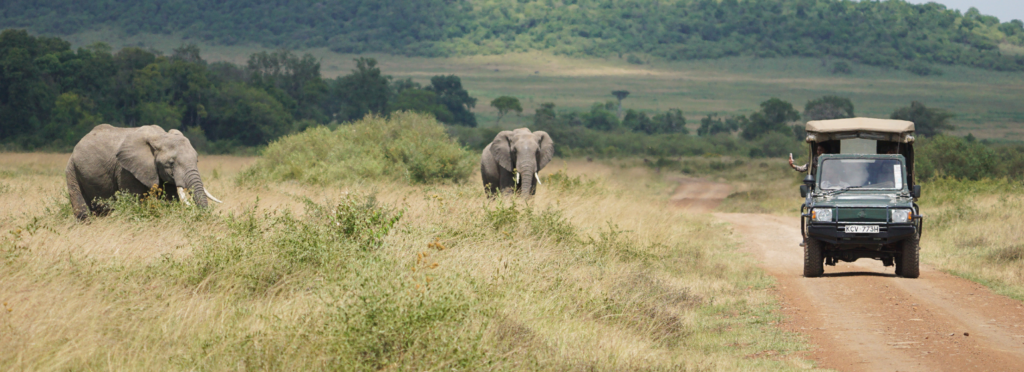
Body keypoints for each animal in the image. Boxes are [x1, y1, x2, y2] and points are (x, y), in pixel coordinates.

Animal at [67, 124, 223, 220]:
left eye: (197, 160)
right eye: (171, 163)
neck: (160, 137)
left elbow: (170, 199)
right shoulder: (126, 170)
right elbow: (136, 200)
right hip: (72, 170)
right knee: (83, 212)